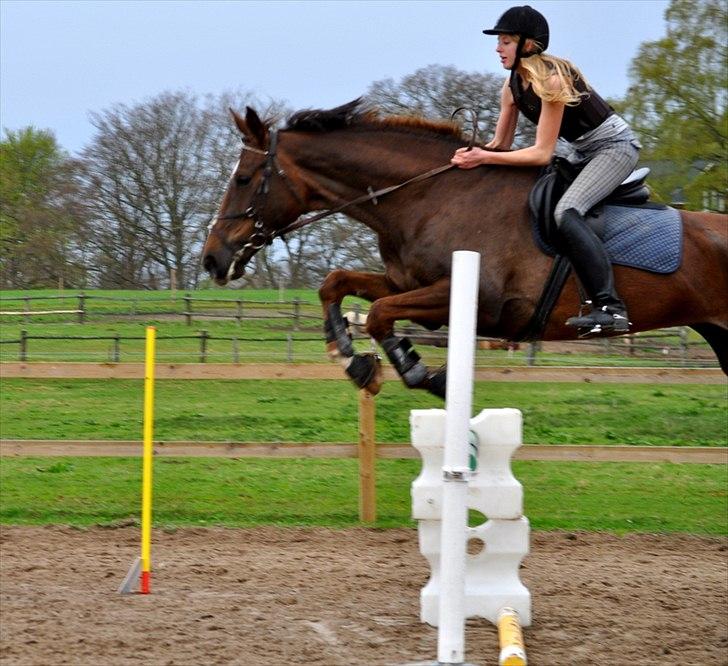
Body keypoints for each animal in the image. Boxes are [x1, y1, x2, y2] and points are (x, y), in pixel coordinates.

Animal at [202, 98, 728, 394]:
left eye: (244, 179)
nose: (212, 259)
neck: (427, 196)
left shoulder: (476, 299)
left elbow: (379, 314)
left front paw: (418, 373)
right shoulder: (405, 282)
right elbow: (337, 285)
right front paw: (353, 359)